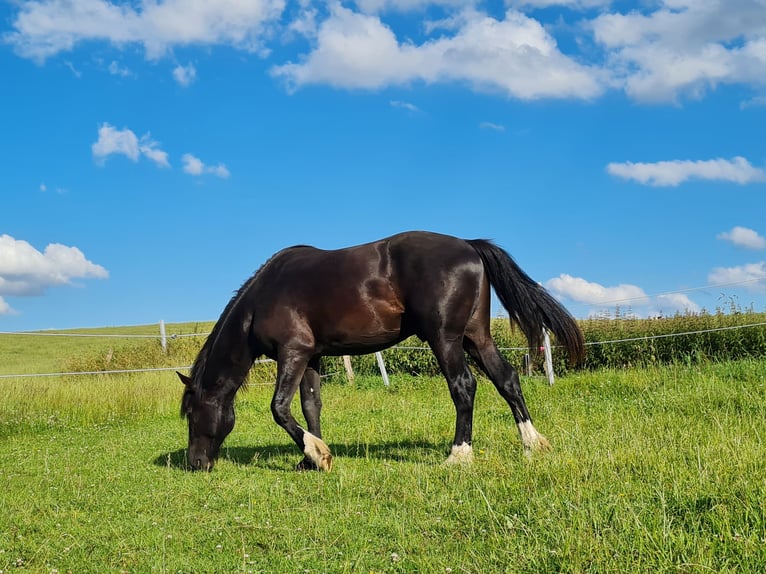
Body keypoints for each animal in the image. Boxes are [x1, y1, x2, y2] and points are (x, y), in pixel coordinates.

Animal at [180, 232, 588, 474]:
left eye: (192, 416)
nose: (195, 463)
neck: (263, 298)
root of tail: (469, 244)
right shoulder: (312, 356)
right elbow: (311, 407)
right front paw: (310, 457)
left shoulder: (292, 352)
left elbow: (280, 408)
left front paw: (317, 454)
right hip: (476, 337)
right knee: (507, 379)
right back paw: (532, 443)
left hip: (445, 339)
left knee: (464, 386)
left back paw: (458, 455)